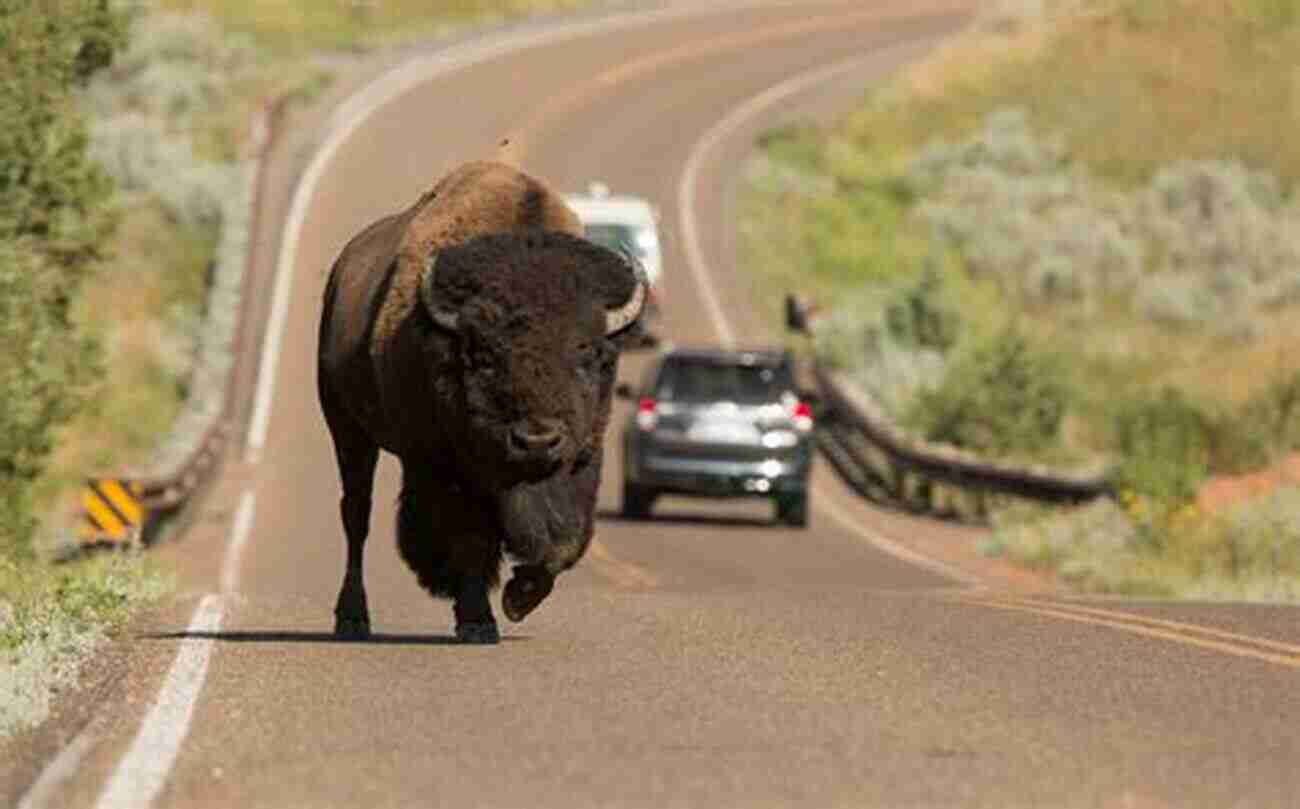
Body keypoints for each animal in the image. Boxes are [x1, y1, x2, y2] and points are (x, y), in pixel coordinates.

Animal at [319, 155, 644, 642]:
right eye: (485, 356)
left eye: (587, 354)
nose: (536, 441)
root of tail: (341, 272)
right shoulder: (451, 468)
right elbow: (471, 539)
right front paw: (477, 619)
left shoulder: (582, 457)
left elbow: (565, 539)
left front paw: (517, 598)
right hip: (348, 429)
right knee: (356, 515)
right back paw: (352, 618)